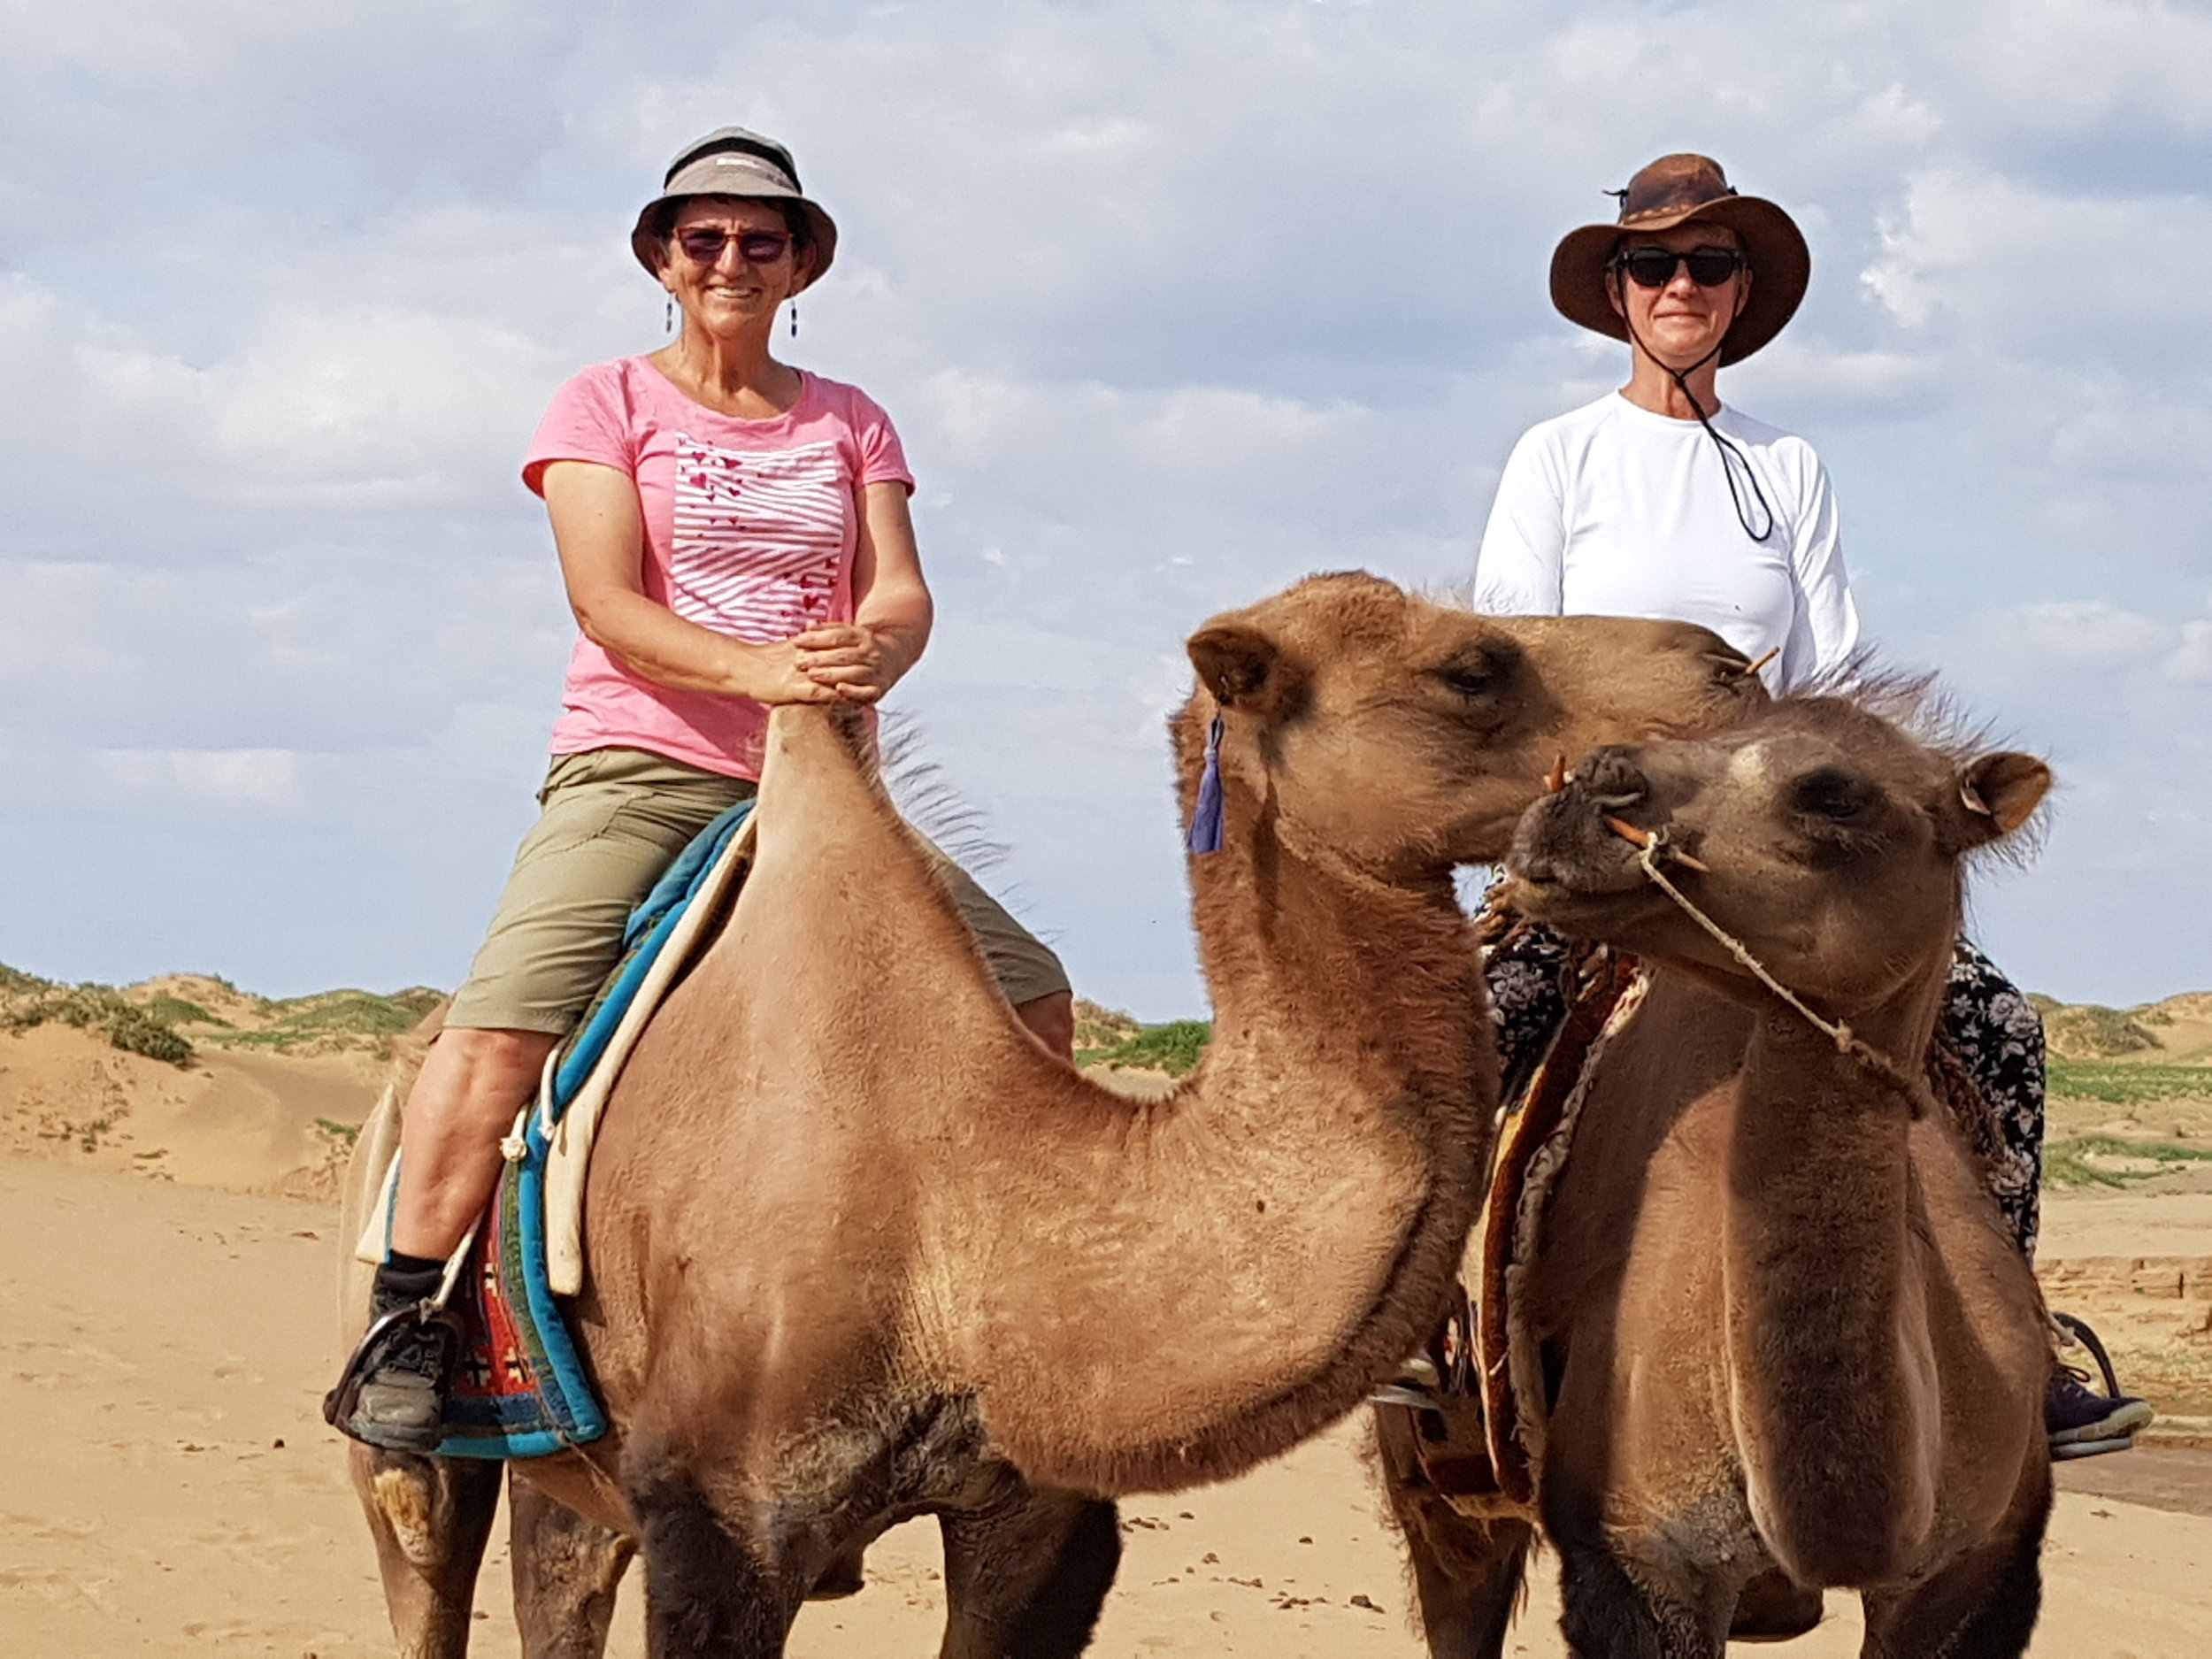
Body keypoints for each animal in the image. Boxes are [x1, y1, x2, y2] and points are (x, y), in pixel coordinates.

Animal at [341, 575, 1761, 1659]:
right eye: (1473, 664)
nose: (1729, 664)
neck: (964, 1216)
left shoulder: (1037, 1522)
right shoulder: (720, 1519)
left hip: (570, 1474)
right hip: (433, 1436)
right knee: (422, 1546)